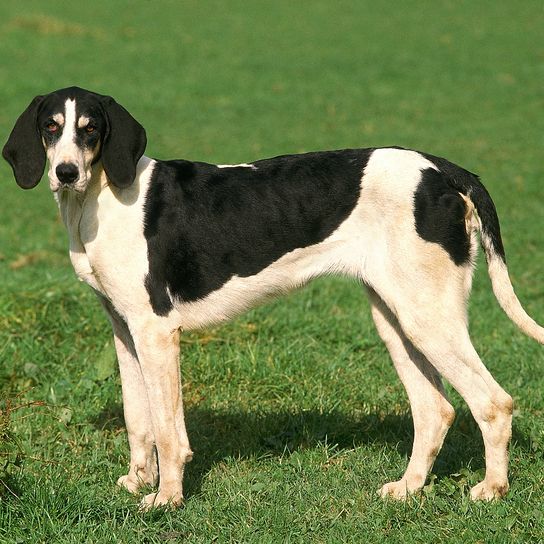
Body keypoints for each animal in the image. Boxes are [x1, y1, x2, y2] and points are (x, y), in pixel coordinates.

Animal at [4, 87, 544, 508]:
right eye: (51, 127)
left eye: (91, 129)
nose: (66, 172)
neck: (102, 197)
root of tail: (443, 169)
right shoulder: (124, 328)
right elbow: (139, 421)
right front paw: (139, 484)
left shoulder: (156, 332)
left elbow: (168, 432)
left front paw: (166, 500)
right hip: (396, 319)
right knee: (436, 411)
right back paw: (407, 489)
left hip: (427, 318)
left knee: (493, 403)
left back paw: (492, 490)